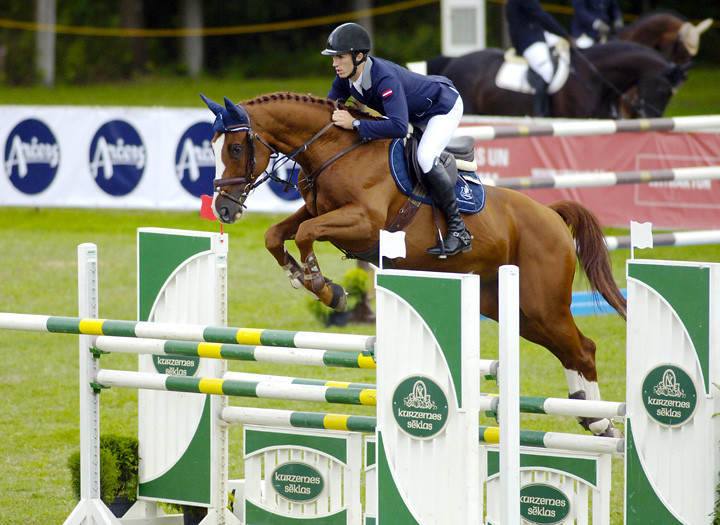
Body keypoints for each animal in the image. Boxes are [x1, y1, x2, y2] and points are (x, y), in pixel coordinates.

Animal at [200, 92, 628, 436]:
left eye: (235, 149)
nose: (223, 209)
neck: (336, 149)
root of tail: (552, 214)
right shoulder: (317, 210)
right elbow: (277, 234)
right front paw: (298, 274)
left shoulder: (361, 222)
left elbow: (305, 233)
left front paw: (327, 289)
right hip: (512, 308)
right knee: (568, 350)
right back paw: (590, 416)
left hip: (542, 304)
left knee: (583, 349)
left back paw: (601, 421)